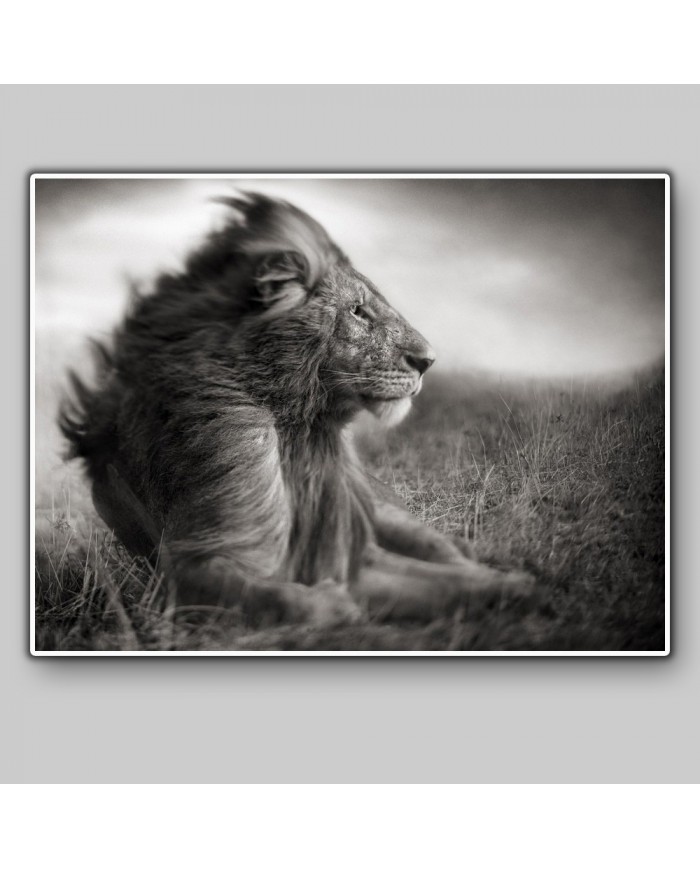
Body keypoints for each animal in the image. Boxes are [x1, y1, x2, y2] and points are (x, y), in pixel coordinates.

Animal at [59, 192, 534, 627]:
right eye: (358, 311)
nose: (428, 361)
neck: (299, 429)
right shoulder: (186, 568)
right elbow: (277, 597)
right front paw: (332, 605)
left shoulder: (350, 551)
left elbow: (451, 581)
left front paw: (517, 585)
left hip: (383, 512)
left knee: (441, 546)